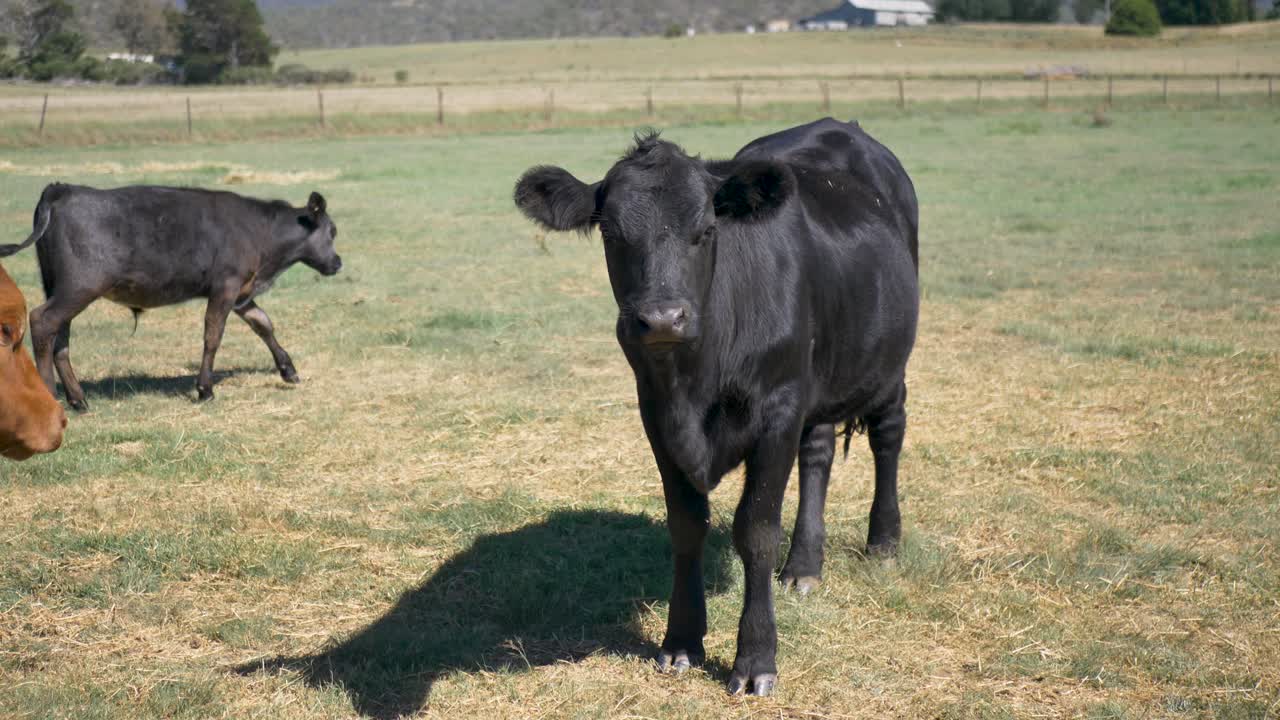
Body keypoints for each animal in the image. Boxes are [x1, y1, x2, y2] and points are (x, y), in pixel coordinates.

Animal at [0, 184, 342, 410]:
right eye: (332, 231)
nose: (338, 263)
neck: (259, 231)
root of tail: (63, 189)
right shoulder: (225, 287)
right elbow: (213, 335)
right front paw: (205, 389)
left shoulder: (242, 293)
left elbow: (264, 324)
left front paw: (288, 370)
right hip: (79, 287)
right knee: (42, 322)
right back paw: (51, 395)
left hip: (62, 289)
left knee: (60, 339)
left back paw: (78, 399)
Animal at [513, 118, 919, 696]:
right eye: (611, 234)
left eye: (706, 230)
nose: (662, 318)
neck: (695, 379)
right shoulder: (656, 414)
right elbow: (686, 525)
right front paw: (682, 640)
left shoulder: (778, 408)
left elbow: (756, 531)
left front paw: (755, 658)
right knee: (817, 453)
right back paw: (804, 566)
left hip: (887, 362)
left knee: (889, 434)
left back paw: (883, 543)